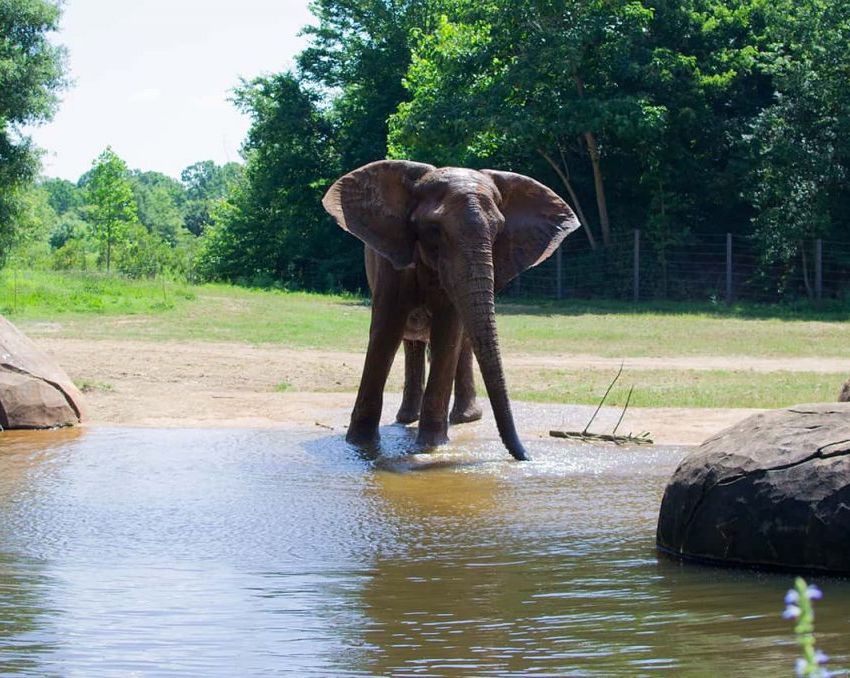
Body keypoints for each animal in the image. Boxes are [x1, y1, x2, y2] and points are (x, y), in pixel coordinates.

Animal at [322, 161, 576, 462]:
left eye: (498, 231)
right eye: (434, 229)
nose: (526, 457)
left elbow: (448, 333)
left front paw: (430, 446)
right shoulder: (390, 260)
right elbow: (386, 331)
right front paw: (359, 446)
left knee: (460, 341)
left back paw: (463, 419)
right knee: (411, 342)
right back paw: (407, 418)